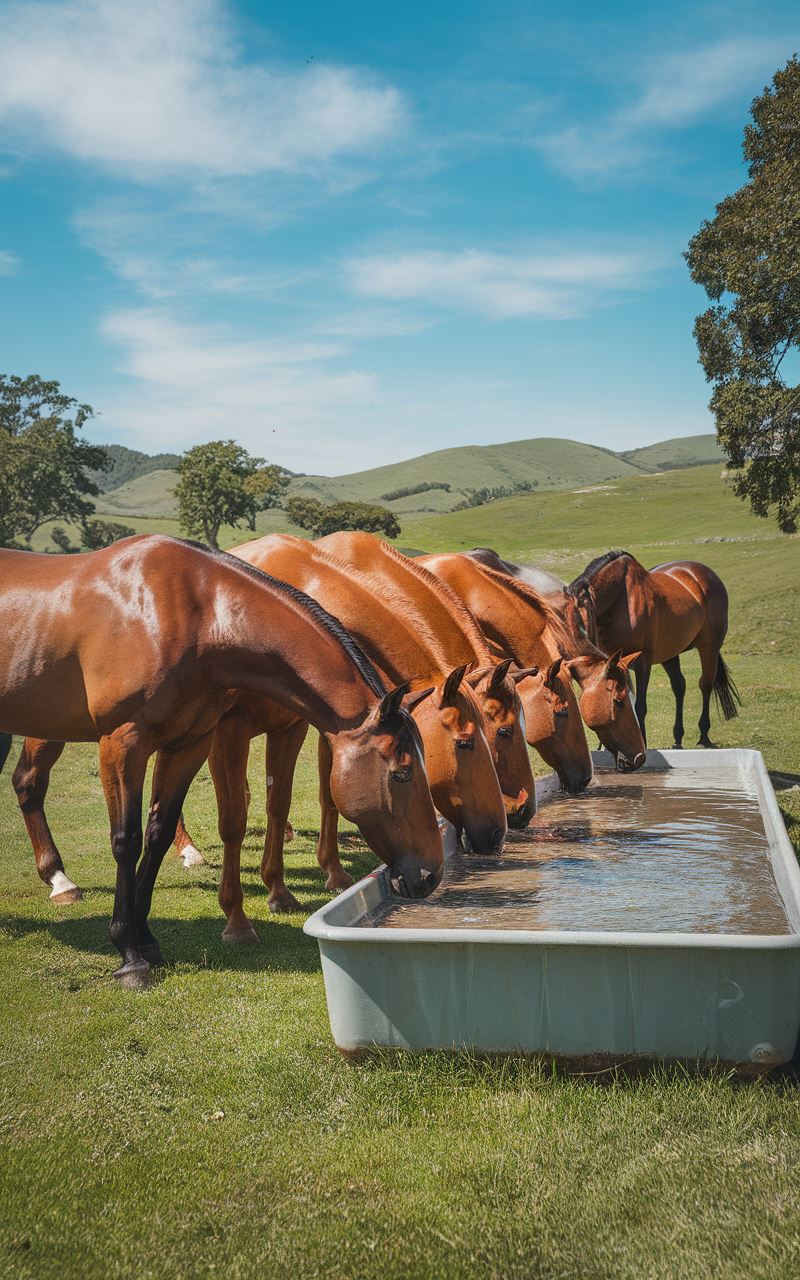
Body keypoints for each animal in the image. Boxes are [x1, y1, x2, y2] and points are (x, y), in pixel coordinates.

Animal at [0, 535, 442, 983]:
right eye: (402, 773)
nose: (431, 874)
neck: (193, 614)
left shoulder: (189, 743)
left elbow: (158, 835)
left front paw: (147, 941)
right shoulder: (123, 743)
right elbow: (128, 840)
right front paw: (130, 953)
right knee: (29, 782)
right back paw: (61, 881)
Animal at [565, 552, 737, 747]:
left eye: (580, 621)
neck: (621, 601)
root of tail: (706, 575)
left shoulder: (643, 663)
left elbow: (640, 707)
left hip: (709, 647)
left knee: (705, 684)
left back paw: (704, 734)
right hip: (670, 654)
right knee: (679, 686)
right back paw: (678, 737)